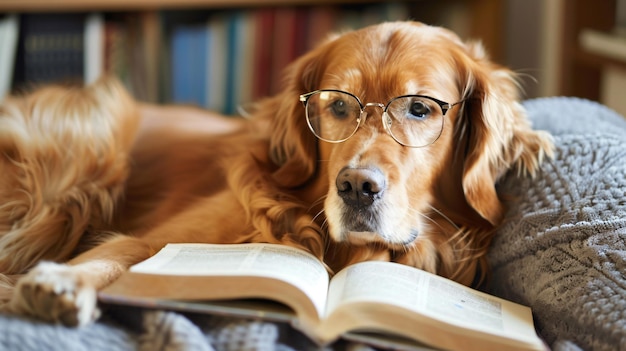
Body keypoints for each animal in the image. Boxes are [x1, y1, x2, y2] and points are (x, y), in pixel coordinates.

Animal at [0, 22, 548, 328]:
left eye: (419, 108)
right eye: (337, 105)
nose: (355, 188)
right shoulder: (160, 241)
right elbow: (114, 255)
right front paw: (62, 281)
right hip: (86, 156)